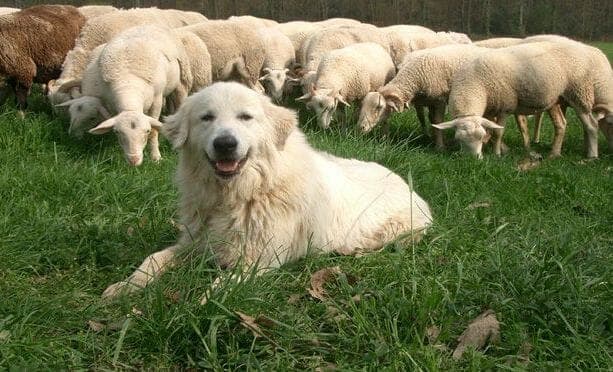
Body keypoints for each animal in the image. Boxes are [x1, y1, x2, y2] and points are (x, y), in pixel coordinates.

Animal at [56, 25, 213, 166]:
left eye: (146, 131)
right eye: (118, 132)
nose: (134, 160)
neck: (128, 82)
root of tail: (146, 25)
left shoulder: (157, 100)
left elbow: (155, 131)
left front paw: (156, 157)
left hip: (181, 81)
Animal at [101, 81, 430, 300]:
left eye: (246, 117)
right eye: (206, 117)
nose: (225, 144)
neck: (240, 193)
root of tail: (404, 180)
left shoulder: (258, 260)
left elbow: (217, 288)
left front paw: (193, 306)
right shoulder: (196, 242)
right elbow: (153, 259)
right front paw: (125, 287)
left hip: (394, 232)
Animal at [356, 42, 486, 145]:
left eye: (379, 107)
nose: (361, 128)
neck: (416, 73)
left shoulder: (439, 101)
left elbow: (437, 121)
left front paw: (440, 146)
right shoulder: (420, 101)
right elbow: (423, 118)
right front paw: (428, 136)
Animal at [430, 41, 612, 158]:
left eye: (479, 137)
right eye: (458, 139)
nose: (472, 160)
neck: (473, 85)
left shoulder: (505, 105)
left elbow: (498, 132)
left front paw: (497, 153)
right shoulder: (489, 110)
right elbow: (492, 129)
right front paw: (502, 149)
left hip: (579, 93)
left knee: (591, 125)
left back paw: (591, 155)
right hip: (557, 98)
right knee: (562, 124)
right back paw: (554, 154)